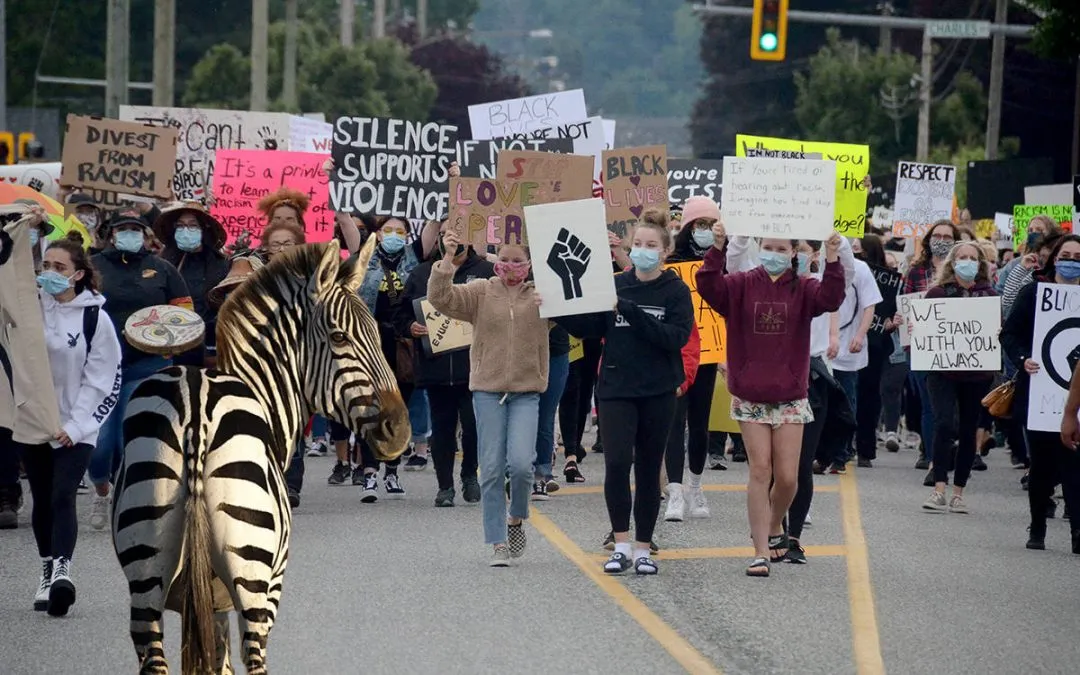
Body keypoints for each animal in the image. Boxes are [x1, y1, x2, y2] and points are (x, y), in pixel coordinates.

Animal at [110, 234, 408, 669]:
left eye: (376, 333)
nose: (400, 431)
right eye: (339, 338)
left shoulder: (206, 600)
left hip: (145, 571)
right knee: (255, 655)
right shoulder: (268, 581)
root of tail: (195, 407)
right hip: (253, 577)